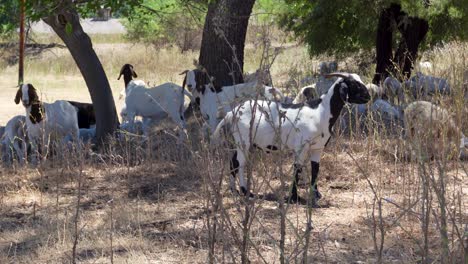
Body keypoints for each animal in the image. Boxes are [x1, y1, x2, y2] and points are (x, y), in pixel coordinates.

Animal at [211, 72, 370, 202]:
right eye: (353, 84)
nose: (367, 97)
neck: (321, 111)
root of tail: (231, 113)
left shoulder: (317, 148)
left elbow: (315, 169)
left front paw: (315, 194)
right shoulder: (301, 147)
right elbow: (297, 169)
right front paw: (294, 197)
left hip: (238, 143)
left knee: (233, 163)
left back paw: (234, 191)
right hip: (243, 141)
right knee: (240, 163)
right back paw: (246, 192)